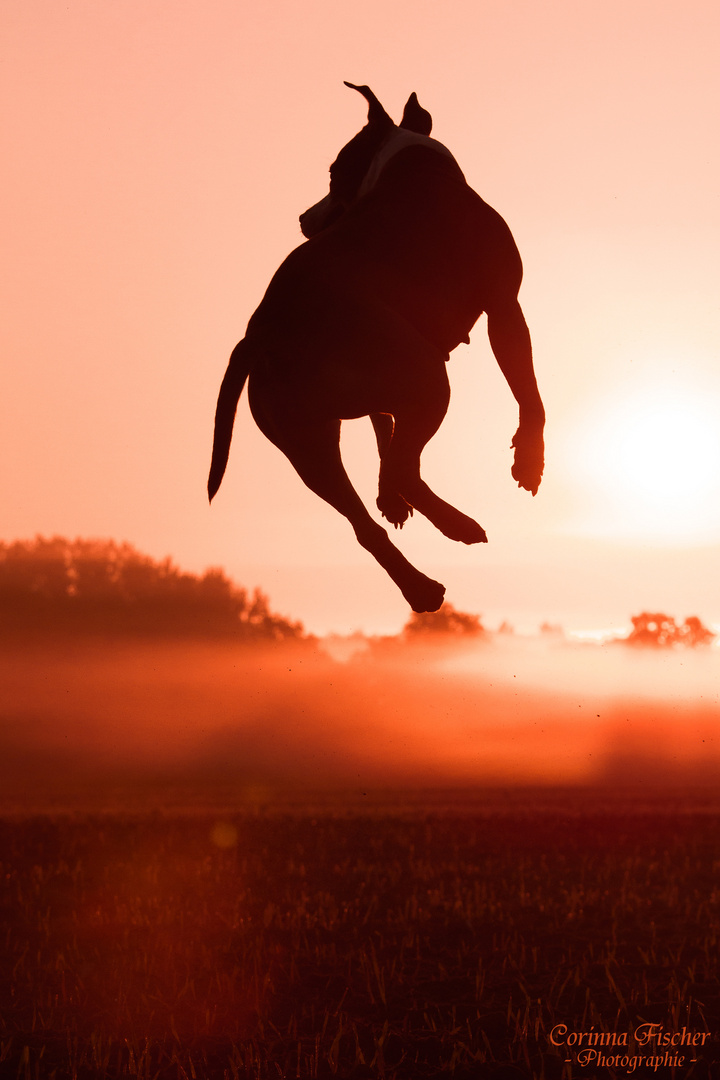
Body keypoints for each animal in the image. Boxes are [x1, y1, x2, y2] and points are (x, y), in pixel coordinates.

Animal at [209, 85, 546, 617]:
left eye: (333, 174)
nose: (303, 218)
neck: (406, 164)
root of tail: (261, 331)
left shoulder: (390, 381)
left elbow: (383, 432)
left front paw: (388, 498)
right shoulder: (504, 308)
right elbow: (529, 394)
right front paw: (529, 460)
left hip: (310, 443)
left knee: (366, 519)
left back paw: (421, 580)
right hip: (426, 378)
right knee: (408, 468)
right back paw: (454, 530)